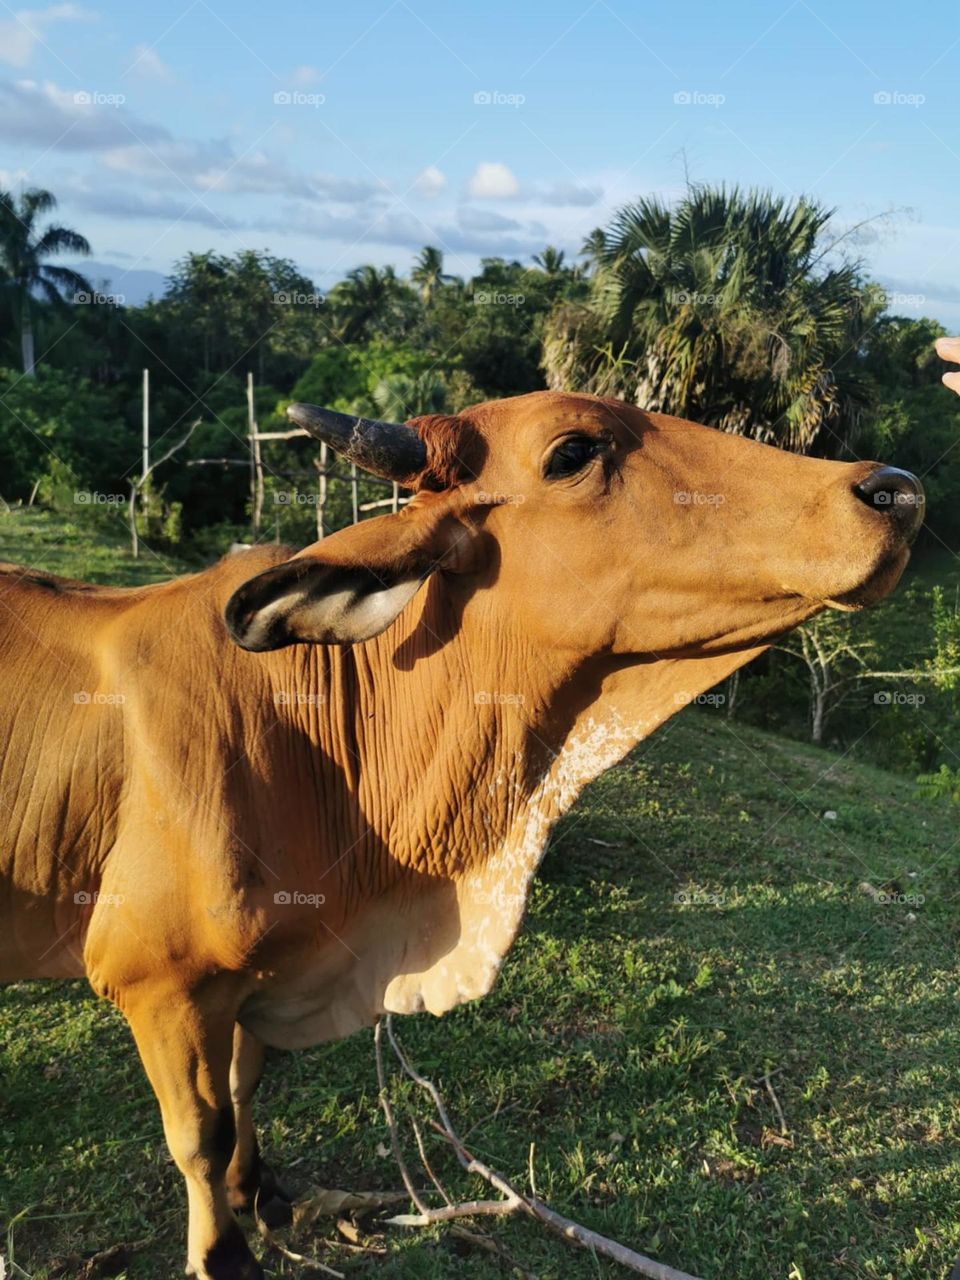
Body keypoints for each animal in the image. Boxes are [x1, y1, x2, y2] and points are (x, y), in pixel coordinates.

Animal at [0, 374, 929, 1279]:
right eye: (572, 451)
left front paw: (258, 1193)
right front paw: (223, 1253)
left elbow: (245, 1089)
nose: (894, 490)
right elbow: (199, 1132)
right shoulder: (159, 983)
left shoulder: (258, 980)